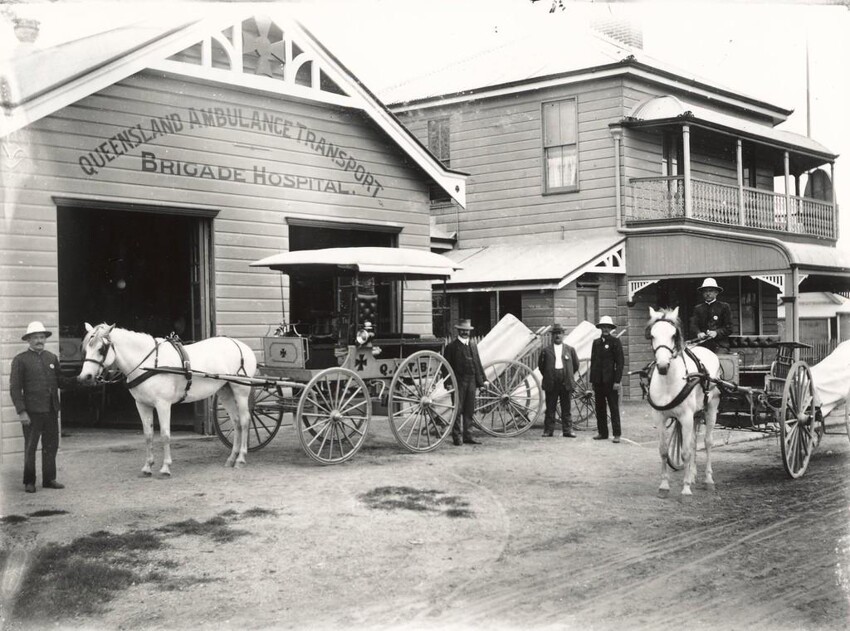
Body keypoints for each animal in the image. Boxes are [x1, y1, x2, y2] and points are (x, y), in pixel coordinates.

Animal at [78, 324, 255, 476]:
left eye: (101, 349)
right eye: (86, 348)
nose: (85, 377)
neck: (149, 364)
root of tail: (241, 345)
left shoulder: (163, 404)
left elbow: (165, 434)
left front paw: (165, 467)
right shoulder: (142, 405)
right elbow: (148, 435)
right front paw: (148, 466)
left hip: (240, 390)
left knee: (245, 421)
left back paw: (241, 458)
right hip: (225, 391)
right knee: (236, 422)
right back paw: (232, 458)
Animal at [644, 308, 720, 502]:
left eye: (673, 335)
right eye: (652, 335)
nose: (663, 366)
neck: (668, 381)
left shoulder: (685, 417)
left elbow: (685, 452)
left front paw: (685, 489)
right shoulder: (660, 417)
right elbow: (664, 451)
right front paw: (664, 486)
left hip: (711, 408)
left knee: (707, 442)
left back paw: (709, 480)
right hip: (696, 415)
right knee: (693, 442)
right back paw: (692, 475)